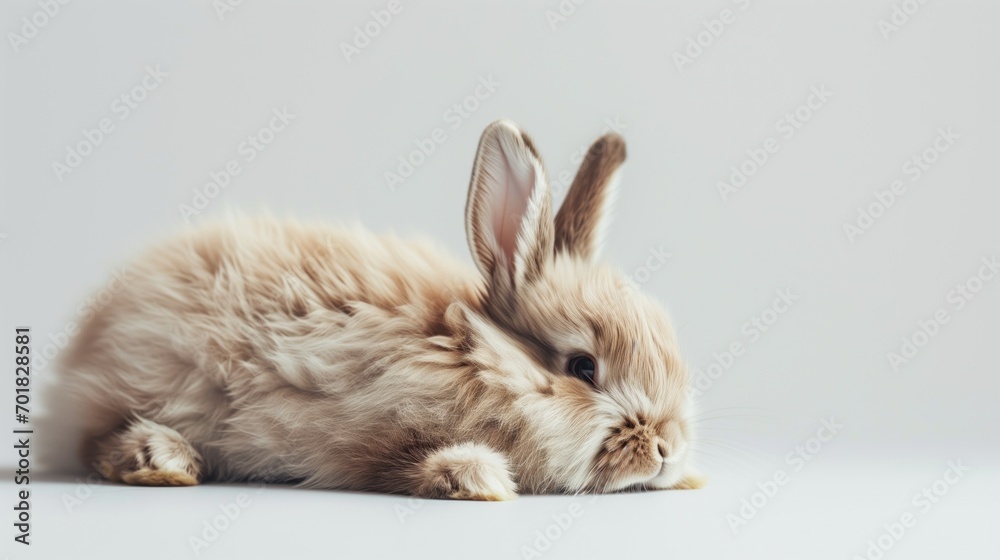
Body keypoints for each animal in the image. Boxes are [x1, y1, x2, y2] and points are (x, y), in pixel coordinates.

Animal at [55, 119, 702, 500]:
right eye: (583, 368)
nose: (668, 448)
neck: (470, 353)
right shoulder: (354, 432)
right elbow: (398, 462)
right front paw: (476, 477)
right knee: (91, 441)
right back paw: (161, 456)